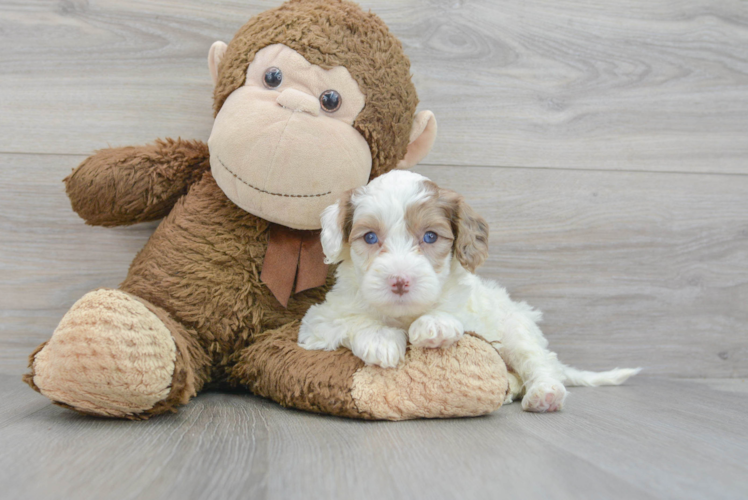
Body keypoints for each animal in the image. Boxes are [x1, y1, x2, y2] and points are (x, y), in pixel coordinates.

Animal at [300, 170, 640, 412]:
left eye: (430, 236)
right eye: (370, 237)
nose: (399, 281)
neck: (405, 315)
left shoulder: (476, 315)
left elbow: (454, 313)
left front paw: (435, 325)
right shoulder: (319, 319)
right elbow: (352, 320)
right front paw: (381, 339)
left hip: (517, 329)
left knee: (539, 362)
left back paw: (545, 393)